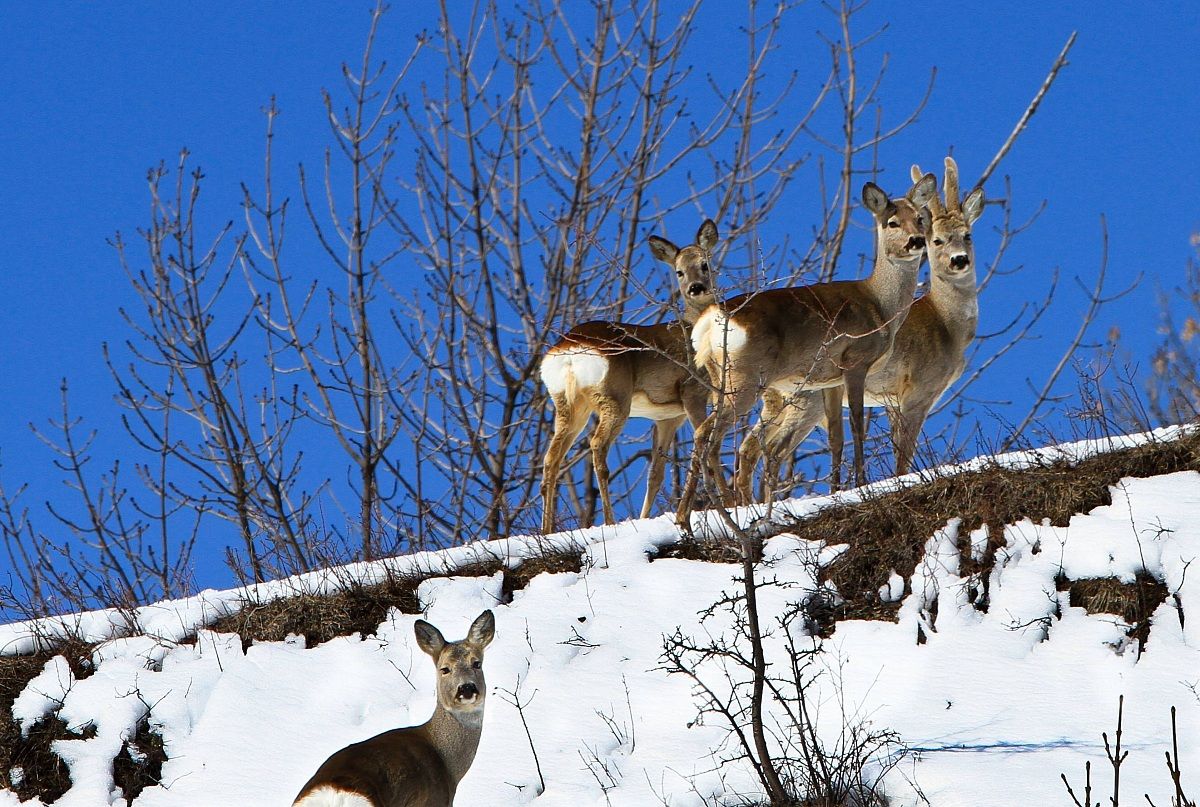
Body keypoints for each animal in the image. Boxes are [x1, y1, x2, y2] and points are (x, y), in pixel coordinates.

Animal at [293, 610, 495, 807]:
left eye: (477, 663)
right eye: (445, 669)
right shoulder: (434, 801)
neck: (448, 764)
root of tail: (334, 796)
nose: (466, 688)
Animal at [540, 219, 719, 534]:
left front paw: (646, 518)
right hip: (614, 397)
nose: (696, 288)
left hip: (568, 403)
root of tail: (569, 349)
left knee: (551, 457)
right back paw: (609, 521)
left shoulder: (667, 416)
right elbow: (707, 447)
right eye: (679, 271)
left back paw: (545, 531)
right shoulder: (692, 392)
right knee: (597, 445)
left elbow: (655, 473)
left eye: (705, 264)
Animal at [676, 174, 936, 526]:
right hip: (743, 378)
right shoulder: (855, 360)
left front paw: (838, 490)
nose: (916, 240)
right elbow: (857, 423)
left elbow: (835, 436)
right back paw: (725, 509)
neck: (880, 306)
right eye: (891, 222)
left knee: (708, 435)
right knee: (709, 434)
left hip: (721, 378)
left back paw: (686, 517)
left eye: (919, 218)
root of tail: (711, 319)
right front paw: (861, 483)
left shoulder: (829, 379)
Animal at [734, 157, 983, 502]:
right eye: (938, 240)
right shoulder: (917, 389)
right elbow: (903, 451)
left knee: (750, 446)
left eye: (968, 235)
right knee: (769, 447)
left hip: (780, 400)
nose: (959, 260)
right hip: (804, 401)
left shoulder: (892, 399)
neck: (948, 326)